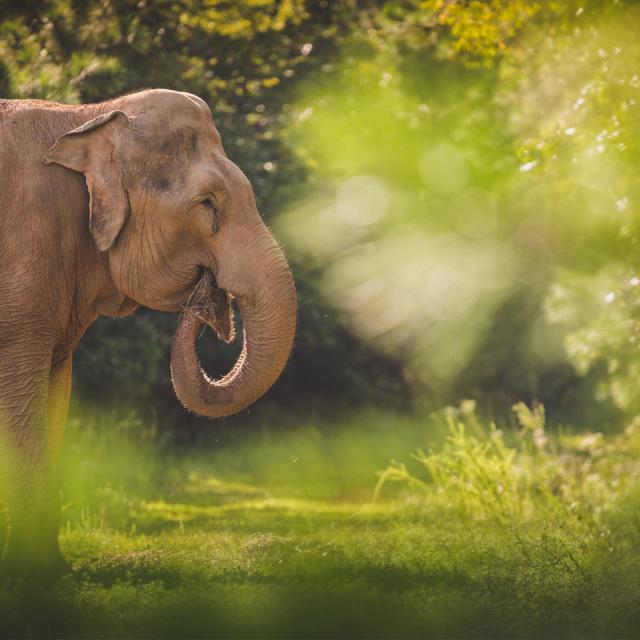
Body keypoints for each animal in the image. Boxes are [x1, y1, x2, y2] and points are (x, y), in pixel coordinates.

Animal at [0, 89, 297, 578]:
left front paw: (50, 569)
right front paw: (32, 573)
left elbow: (53, 397)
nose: (207, 297)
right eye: (207, 203)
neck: (87, 117)